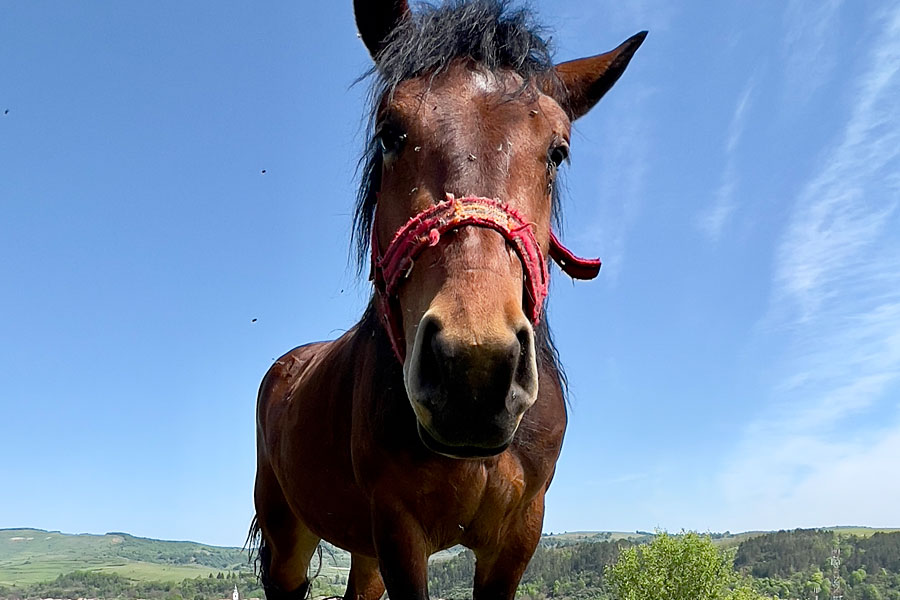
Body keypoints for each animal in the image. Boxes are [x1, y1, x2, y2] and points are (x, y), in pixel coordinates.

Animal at [251, 1, 648, 600]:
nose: (475, 368)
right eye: (390, 134)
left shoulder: (517, 536)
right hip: (287, 534)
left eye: (558, 153)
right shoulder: (399, 528)